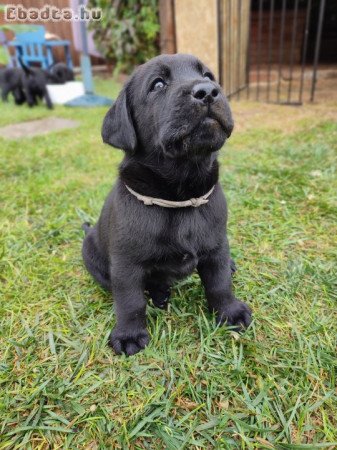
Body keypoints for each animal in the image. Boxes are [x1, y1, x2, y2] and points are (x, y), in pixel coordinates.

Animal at [82, 53, 252, 356]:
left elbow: (219, 282)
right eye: (158, 84)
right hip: (90, 253)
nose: (208, 91)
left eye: (208, 76)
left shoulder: (217, 245)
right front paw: (129, 334)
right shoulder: (126, 263)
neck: (178, 198)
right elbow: (130, 301)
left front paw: (230, 312)